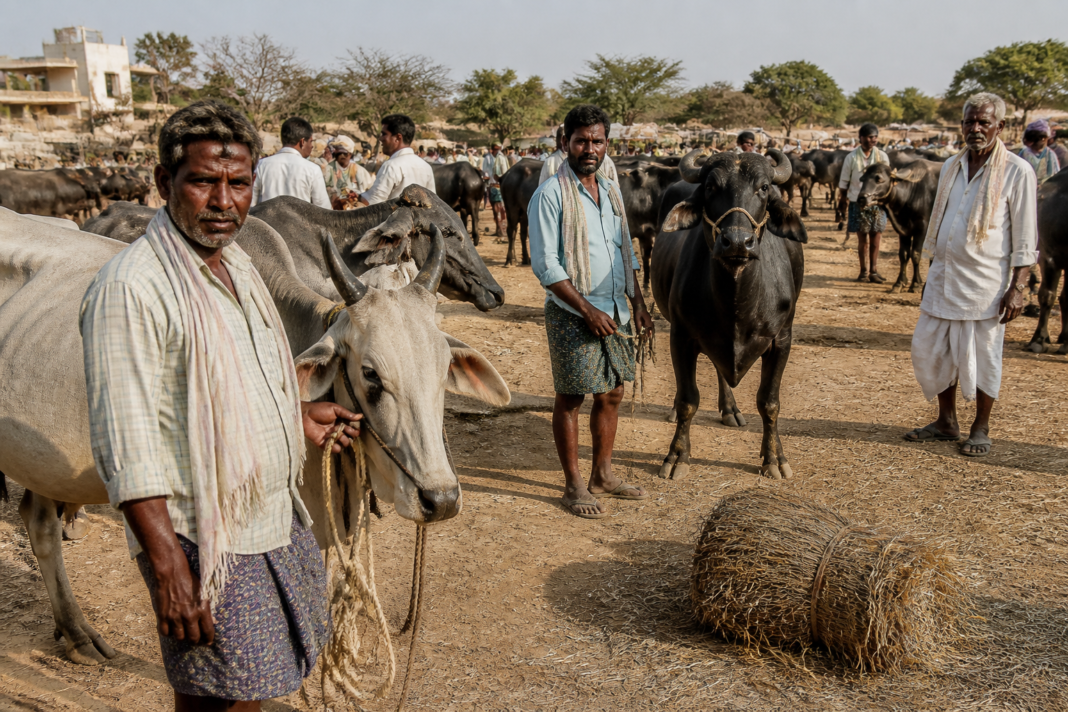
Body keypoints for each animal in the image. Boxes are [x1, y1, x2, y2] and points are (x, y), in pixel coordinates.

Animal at [651, 148, 806, 481]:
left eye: (764, 188)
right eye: (710, 187)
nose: (737, 242)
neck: (737, 300)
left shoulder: (782, 340)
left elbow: (769, 402)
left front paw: (774, 458)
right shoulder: (680, 337)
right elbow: (688, 399)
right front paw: (677, 456)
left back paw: (731, 410)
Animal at [855, 159, 941, 293]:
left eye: (879, 179)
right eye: (862, 179)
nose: (862, 199)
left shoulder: (922, 229)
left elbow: (916, 255)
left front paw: (915, 284)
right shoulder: (903, 230)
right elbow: (903, 255)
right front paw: (899, 283)